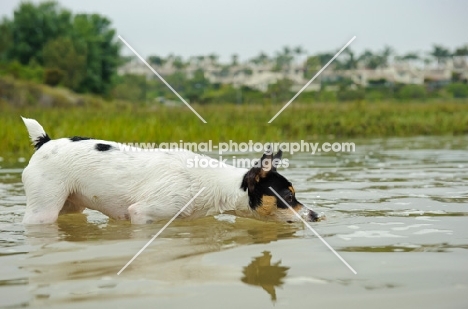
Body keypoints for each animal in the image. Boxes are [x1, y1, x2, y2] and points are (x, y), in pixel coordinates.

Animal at [20, 116, 320, 223]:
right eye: (288, 197)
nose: (316, 215)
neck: (217, 185)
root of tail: (45, 142)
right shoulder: (142, 214)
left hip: (71, 206)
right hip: (43, 211)